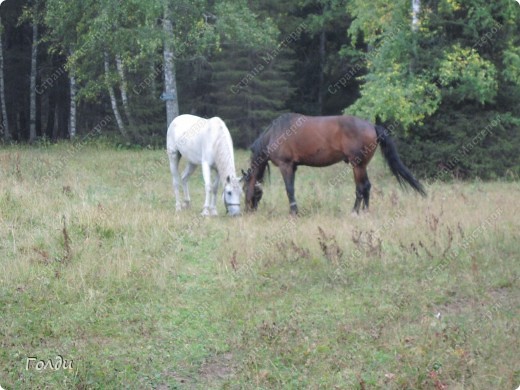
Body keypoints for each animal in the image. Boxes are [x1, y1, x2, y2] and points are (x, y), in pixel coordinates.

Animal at [242, 112, 424, 215]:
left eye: (243, 188)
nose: (248, 210)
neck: (275, 133)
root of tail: (372, 126)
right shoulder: (293, 167)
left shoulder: (285, 165)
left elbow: (289, 189)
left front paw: (293, 212)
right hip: (360, 165)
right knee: (365, 187)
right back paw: (364, 211)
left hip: (358, 165)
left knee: (362, 187)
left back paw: (356, 212)